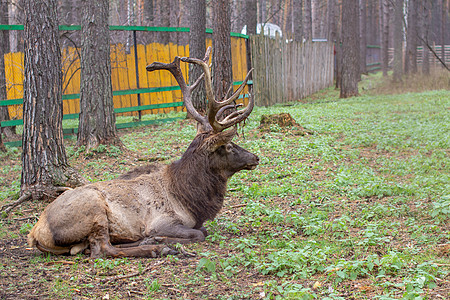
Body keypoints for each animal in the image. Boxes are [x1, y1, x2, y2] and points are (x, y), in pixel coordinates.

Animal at [27, 47, 260, 258]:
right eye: (228, 146)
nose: (255, 157)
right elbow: (200, 233)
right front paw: (162, 239)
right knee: (102, 250)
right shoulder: (162, 221)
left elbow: (202, 229)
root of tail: (35, 233)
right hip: (94, 211)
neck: (190, 198)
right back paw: (158, 247)